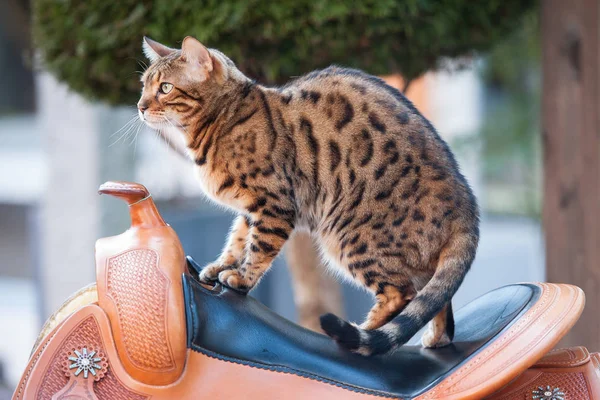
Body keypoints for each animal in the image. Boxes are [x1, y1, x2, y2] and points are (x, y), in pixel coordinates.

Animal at [138, 36, 480, 356]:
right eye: (144, 86)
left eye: (165, 88)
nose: (140, 106)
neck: (222, 121)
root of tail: (467, 206)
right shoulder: (250, 209)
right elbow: (238, 238)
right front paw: (220, 266)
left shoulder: (274, 203)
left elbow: (259, 248)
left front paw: (242, 279)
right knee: (432, 297)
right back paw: (435, 338)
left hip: (348, 236)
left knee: (402, 295)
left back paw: (359, 334)